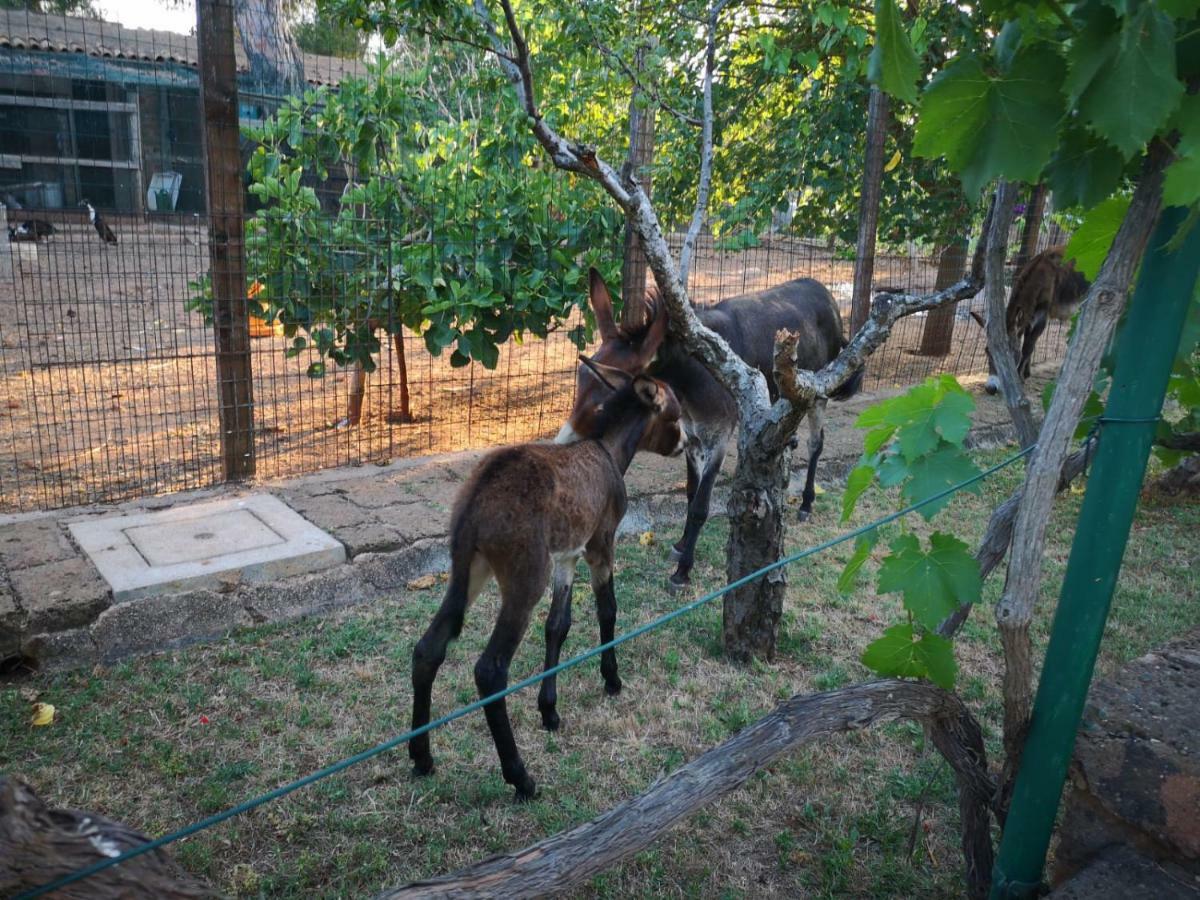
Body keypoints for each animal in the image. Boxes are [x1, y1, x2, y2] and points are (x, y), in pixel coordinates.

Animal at [408, 367, 681, 801]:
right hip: (524, 577)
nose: (685, 443)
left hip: (471, 569)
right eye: (674, 413)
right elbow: (608, 610)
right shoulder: (601, 544)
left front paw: (549, 710)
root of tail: (477, 500)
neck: (607, 451)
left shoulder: (567, 555)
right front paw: (612, 679)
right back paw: (520, 777)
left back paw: (422, 757)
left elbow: (558, 626)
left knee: (428, 648)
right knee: (490, 670)